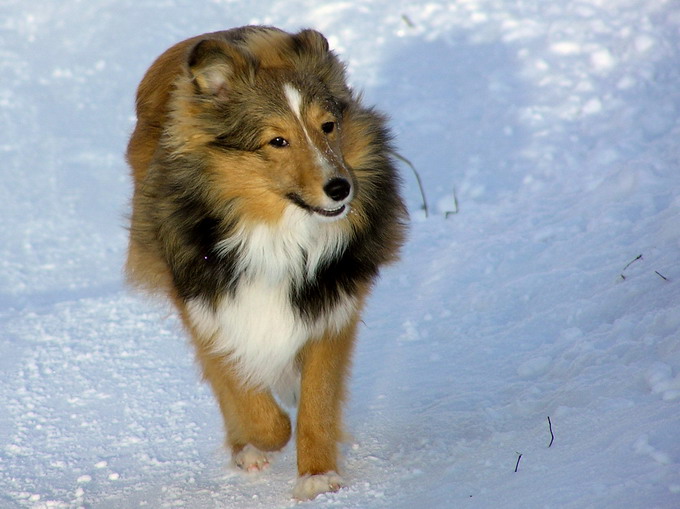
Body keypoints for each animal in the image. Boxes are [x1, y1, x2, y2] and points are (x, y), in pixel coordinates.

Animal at [125, 25, 406, 498]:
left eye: (328, 126)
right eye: (277, 141)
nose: (340, 188)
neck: (278, 232)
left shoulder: (328, 306)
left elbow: (316, 400)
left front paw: (317, 476)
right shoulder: (208, 303)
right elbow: (242, 392)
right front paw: (261, 439)